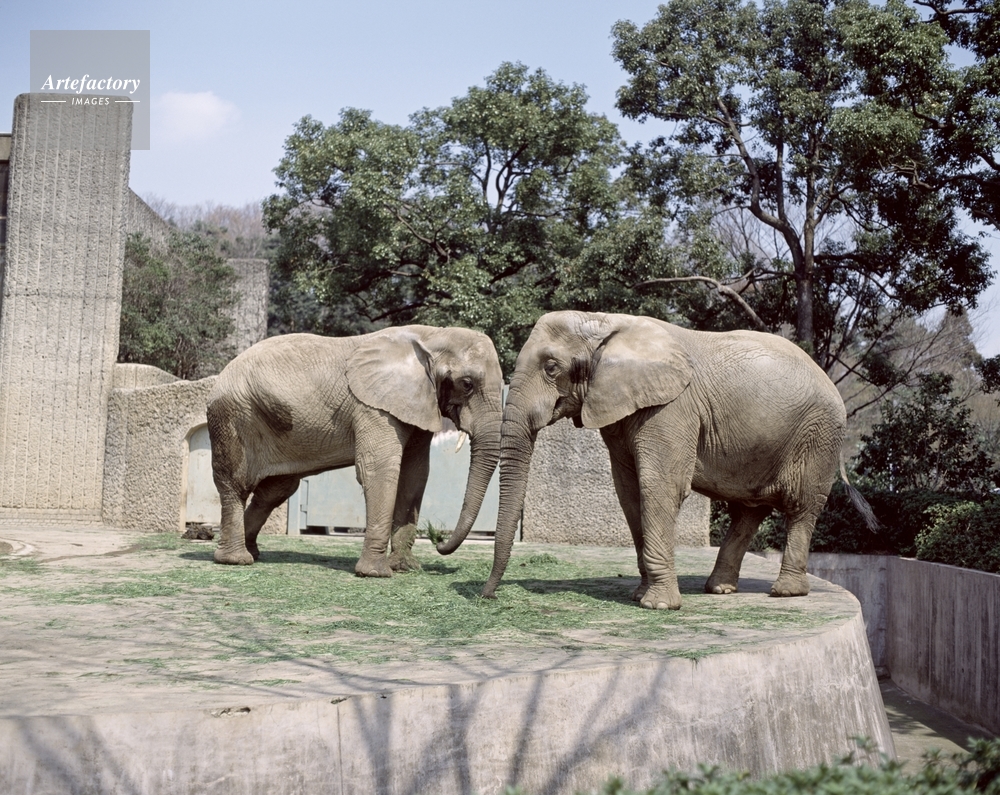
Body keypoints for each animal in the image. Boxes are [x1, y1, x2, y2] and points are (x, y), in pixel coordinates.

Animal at [206, 326, 503, 577]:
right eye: (467, 383)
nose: (438, 542)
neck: (431, 335)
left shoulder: (416, 405)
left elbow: (415, 475)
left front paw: (405, 568)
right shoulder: (373, 407)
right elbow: (379, 469)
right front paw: (376, 573)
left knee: (275, 490)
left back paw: (252, 552)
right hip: (233, 417)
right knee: (236, 484)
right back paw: (235, 559)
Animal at [470, 310, 874, 609]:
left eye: (551, 367)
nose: (488, 597)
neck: (604, 321)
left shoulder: (672, 406)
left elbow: (660, 486)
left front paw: (658, 605)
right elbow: (629, 491)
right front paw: (640, 595)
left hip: (818, 436)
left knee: (801, 507)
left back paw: (785, 592)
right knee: (749, 511)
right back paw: (720, 590)